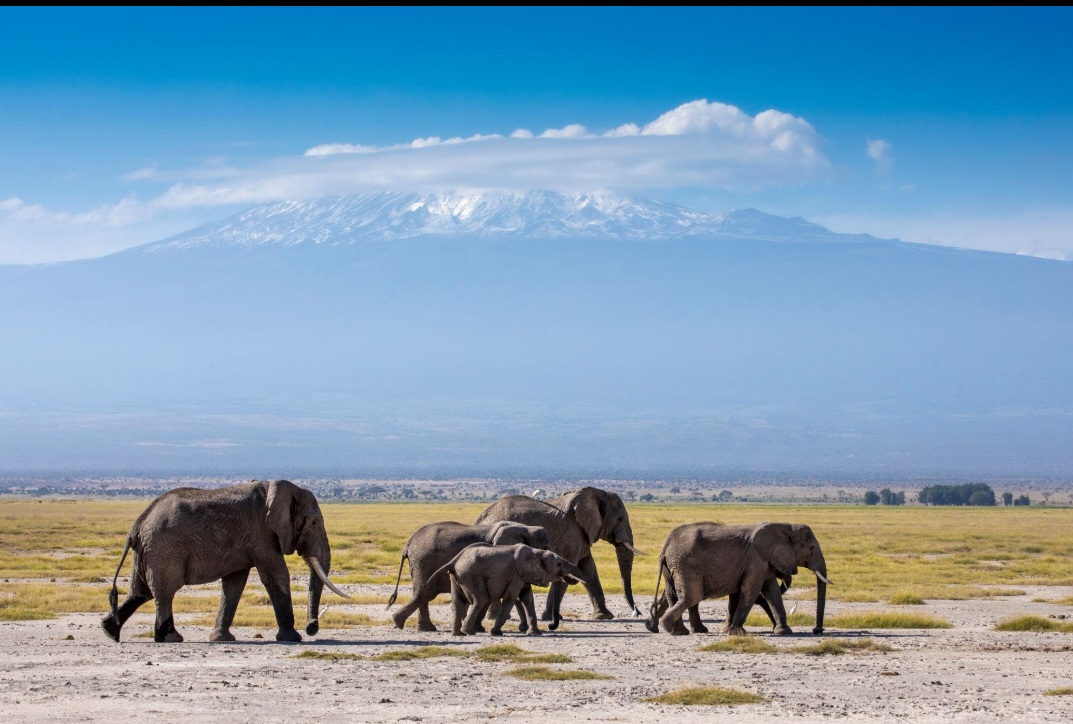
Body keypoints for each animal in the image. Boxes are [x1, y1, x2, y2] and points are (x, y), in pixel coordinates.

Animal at [100, 479, 350, 643]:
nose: (312, 628)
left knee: (140, 592)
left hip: (147, 551)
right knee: (164, 592)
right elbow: (276, 576)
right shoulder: (261, 533)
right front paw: (292, 638)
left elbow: (234, 585)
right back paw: (171, 638)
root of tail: (137, 526)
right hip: (164, 549)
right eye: (314, 523)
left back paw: (109, 631)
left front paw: (221, 639)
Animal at [387, 521, 554, 632]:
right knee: (425, 593)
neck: (525, 527)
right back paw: (415, 626)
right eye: (545, 549)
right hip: (423, 563)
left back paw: (419, 627)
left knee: (424, 595)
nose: (551, 625)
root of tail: (408, 544)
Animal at [430, 543, 585, 636]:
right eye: (558, 565)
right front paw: (495, 633)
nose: (551, 626)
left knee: (458, 603)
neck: (536, 552)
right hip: (470, 576)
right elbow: (511, 598)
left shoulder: (522, 576)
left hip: (457, 577)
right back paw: (469, 632)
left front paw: (535, 633)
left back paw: (458, 634)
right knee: (480, 600)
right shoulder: (516, 574)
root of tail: (455, 560)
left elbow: (528, 598)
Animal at [474, 487, 644, 622]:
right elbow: (571, 569)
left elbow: (588, 570)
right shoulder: (573, 533)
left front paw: (604, 616)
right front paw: (550, 617)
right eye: (620, 519)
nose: (637, 613)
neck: (597, 493)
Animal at [644, 521, 830, 637]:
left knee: (676, 596)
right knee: (692, 597)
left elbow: (771, 592)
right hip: (685, 565)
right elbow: (751, 591)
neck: (785, 526)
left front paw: (784, 631)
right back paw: (672, 628)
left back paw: (680, 630)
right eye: (812, 549)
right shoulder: (756, 559)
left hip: (672, 568)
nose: (817, 630)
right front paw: (738, 633)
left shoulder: (763, 561)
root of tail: (666, 547)